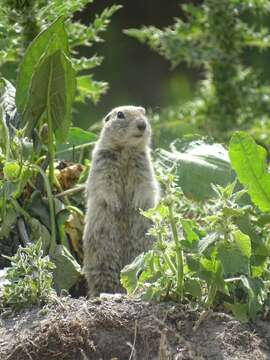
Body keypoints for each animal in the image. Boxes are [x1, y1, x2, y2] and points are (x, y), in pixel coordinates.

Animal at [82, 105, 158, 296]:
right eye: (120, 115)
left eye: (143, 112)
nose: (142, 124)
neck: (125, 150)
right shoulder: (102, 162)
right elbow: (104, 185)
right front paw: (115, 205)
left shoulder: (144, 165)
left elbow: (145, 184)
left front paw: (136, 204)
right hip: (100, 256)